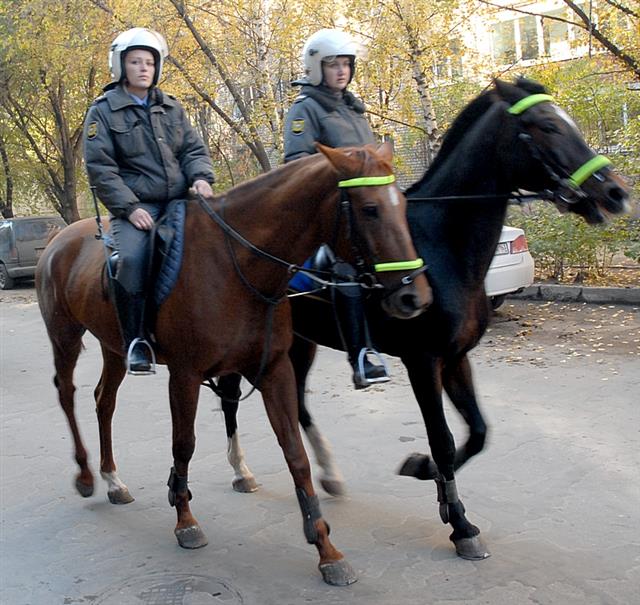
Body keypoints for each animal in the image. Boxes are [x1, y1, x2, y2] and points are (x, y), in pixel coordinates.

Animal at [37, 143, 432, 584]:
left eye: (402, 204)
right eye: (370, 208)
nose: (414, 296)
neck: (236, 264)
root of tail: (59, 238)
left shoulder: (275, 370)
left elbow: (295, 453)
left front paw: (326, 549)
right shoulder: (185, 375)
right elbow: (184, 444)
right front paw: (185, 519)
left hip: (115, 348)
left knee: (104, 401)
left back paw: (112, 480)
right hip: (66, 338)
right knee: (68, 395)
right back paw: (87, 476)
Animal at [216, 78, 632, 560]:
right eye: (547, 126)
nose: (616, 193)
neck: (441, 245)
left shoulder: (456, 359)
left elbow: (477, 432)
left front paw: (427, 474)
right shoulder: (423, 361)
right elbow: (444, 438)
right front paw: (459, 523)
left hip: (302, 343)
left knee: (298, 403)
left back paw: (329, 475)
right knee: (231, 398)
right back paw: (241, 470)